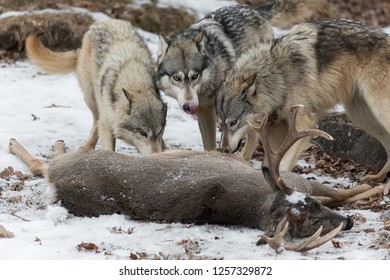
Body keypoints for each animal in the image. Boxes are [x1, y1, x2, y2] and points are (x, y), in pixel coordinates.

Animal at [25, 19, 166, 155]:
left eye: (160, 132)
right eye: (143, 133)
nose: (156, 156)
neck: (135, 81)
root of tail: (103, 22)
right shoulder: (107, 124)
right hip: (90, 99)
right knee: (96, 122)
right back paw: (88, 147)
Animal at [155, 0, 326, 152]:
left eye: (195, 76)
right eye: (176, 78)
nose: (189, 106)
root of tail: (256, 11)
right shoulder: (204, 111)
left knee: (253, 137)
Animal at [215, 19, 390, 182]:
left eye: (233, 122)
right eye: (221, 124)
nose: (222, 150)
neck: (278, 76)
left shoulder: (304, 122)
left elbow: (282, 164)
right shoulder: (276, 129)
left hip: (379, 111)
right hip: (361, 117)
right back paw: (377, 178)